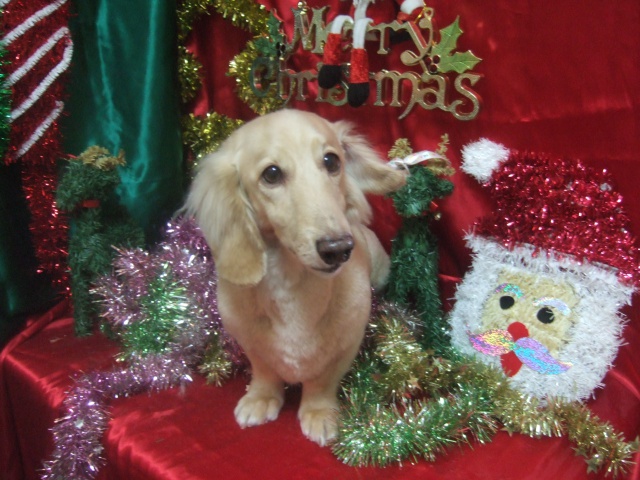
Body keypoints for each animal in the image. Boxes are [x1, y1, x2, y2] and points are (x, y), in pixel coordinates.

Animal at [185, 109, 407, 445]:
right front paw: (261, 398)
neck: (292, 289)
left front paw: (319, 413)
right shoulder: (250, 342)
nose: (338, 248)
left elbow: (321, 382)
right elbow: (264, 372)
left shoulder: (345, 346)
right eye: (272, 174)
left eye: (332, 161)